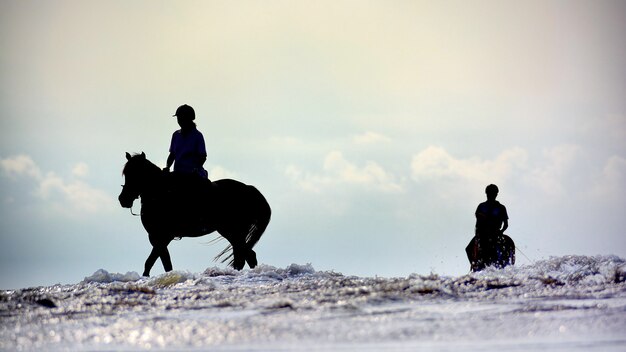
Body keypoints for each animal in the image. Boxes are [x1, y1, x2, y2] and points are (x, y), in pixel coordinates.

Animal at [118, 153, 270, 276]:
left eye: (138, 174)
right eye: (126, 174)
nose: (123, 199)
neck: (159, 194)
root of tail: (249, 189)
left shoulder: (162, 236)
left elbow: (156, 262)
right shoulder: (157, 237)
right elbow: (161, 262)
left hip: (234, 231)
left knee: (246, 255)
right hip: (233, 233)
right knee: (244, 255)